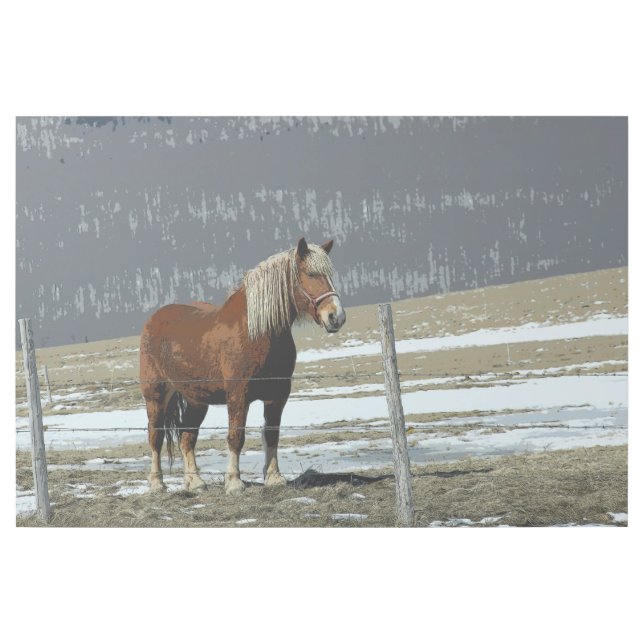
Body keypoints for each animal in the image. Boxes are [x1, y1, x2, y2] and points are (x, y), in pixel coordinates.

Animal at [139, 237, 346, 495]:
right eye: (310, 273)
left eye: (330, 275)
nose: (336, 317)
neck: (257, 333)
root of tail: (154, 319)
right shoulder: (238, 395)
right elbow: (236, 436)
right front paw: (234, 482)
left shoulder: (278, 395)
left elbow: (272, 434)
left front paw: (274, 477)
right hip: (156, 394)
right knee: (155, 436)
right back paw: (157, 483)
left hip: (197, 399)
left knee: (187, 435)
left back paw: (195, 482)